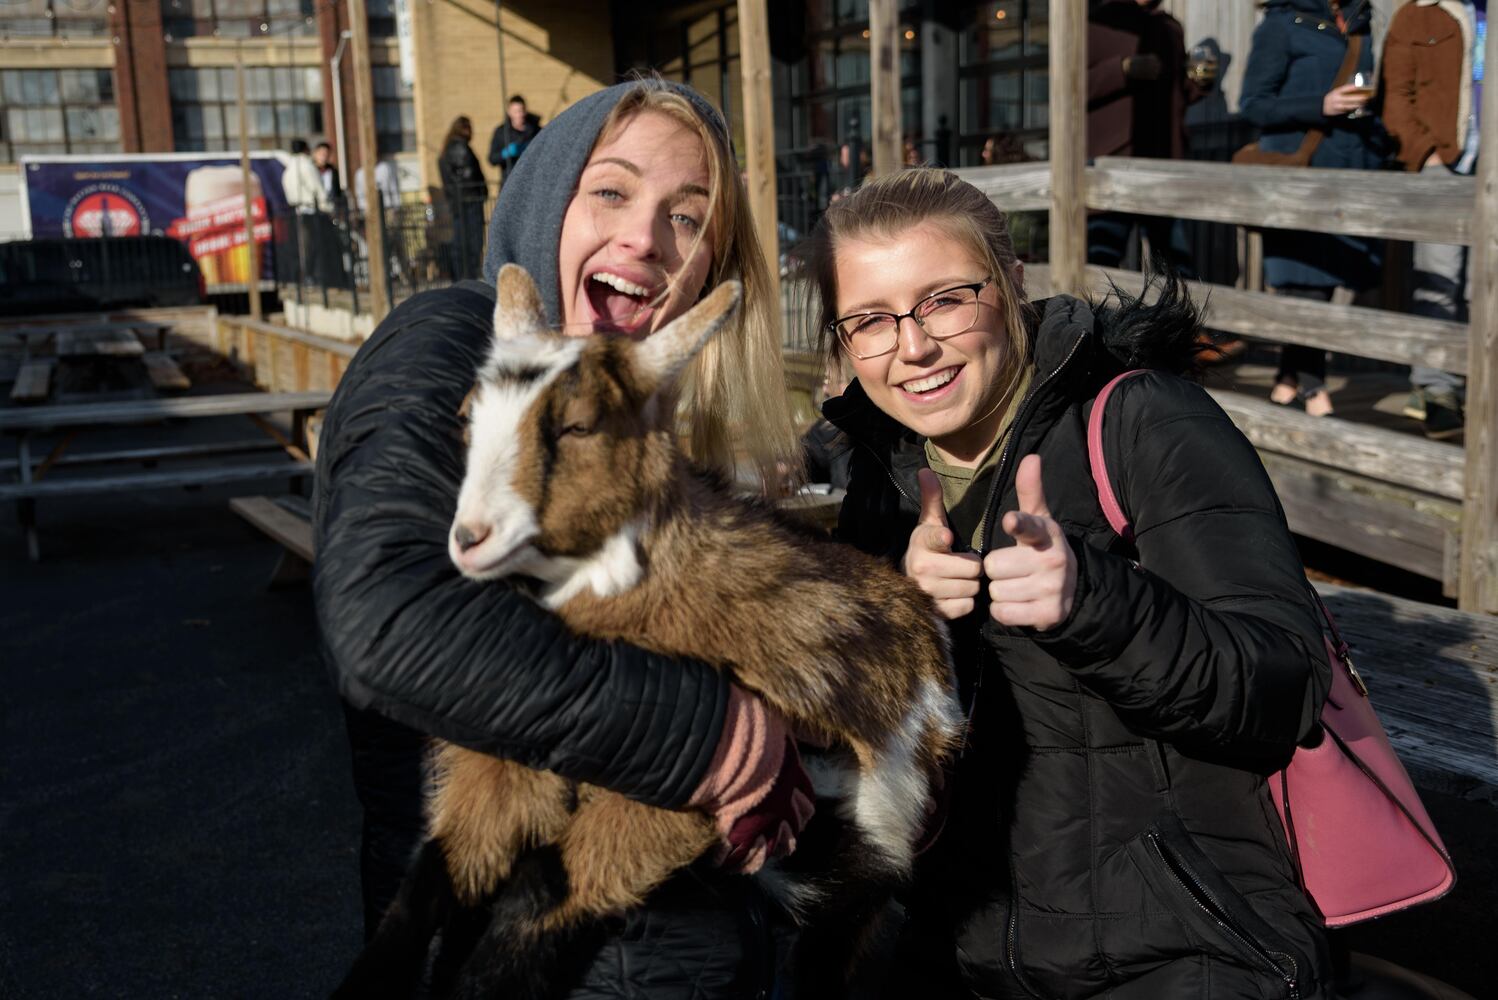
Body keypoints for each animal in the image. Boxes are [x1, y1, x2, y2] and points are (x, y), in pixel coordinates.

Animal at [337, 264, 958, 999]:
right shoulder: (503, 764)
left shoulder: (673, 809)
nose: (470, 539)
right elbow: (432, 881)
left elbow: (531, 914)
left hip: (858, 869)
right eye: (466, 416)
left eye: (578, 426)